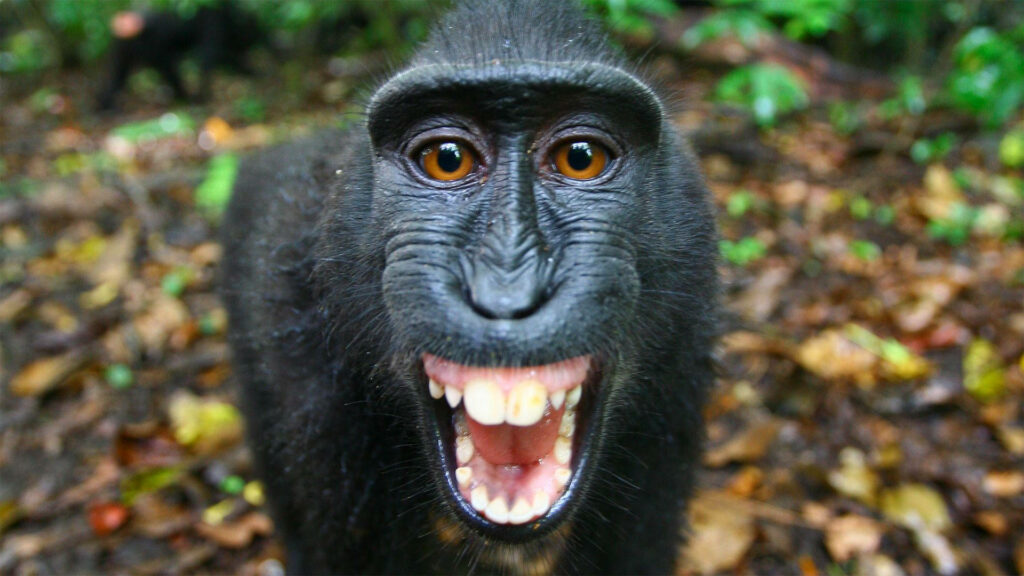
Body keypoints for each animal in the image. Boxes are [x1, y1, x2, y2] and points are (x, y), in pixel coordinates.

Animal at [97, 1, 264, 111]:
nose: (258, 36)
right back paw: (184, 96)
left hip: (121, 52)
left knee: (116, 78)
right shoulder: (214, 24)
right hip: (154, 53)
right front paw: (203, 96)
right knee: (171, 72)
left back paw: (105, 107)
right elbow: (211, 58)